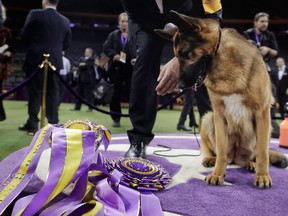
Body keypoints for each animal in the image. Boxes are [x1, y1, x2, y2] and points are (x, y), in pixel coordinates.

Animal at [156, 11, 286, 188]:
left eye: (185, 54)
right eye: (176, 56)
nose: (180, 86)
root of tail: (237, 158)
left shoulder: (262, 113)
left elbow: (262, 152)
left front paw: (262, 176)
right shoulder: (219, 114)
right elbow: (222, 150)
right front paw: (217, 174)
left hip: (264, 128)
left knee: (256, 153)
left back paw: (251, 163)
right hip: (208, 118)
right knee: (218, 153)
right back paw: (211, 159)